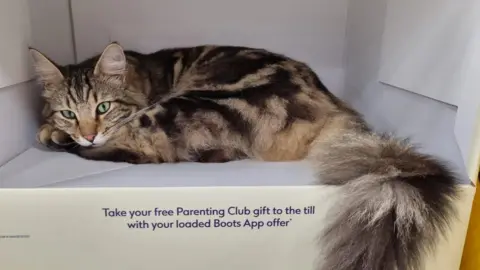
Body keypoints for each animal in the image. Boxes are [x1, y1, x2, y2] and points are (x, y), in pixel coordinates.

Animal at [29, 42, 458, 270]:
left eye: (103, 107)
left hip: (191, 103)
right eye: (69, 111)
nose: (87, 132)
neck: (143, 77)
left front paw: (53, 134)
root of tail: (333, 107)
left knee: (153, 153)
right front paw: (52, 127)